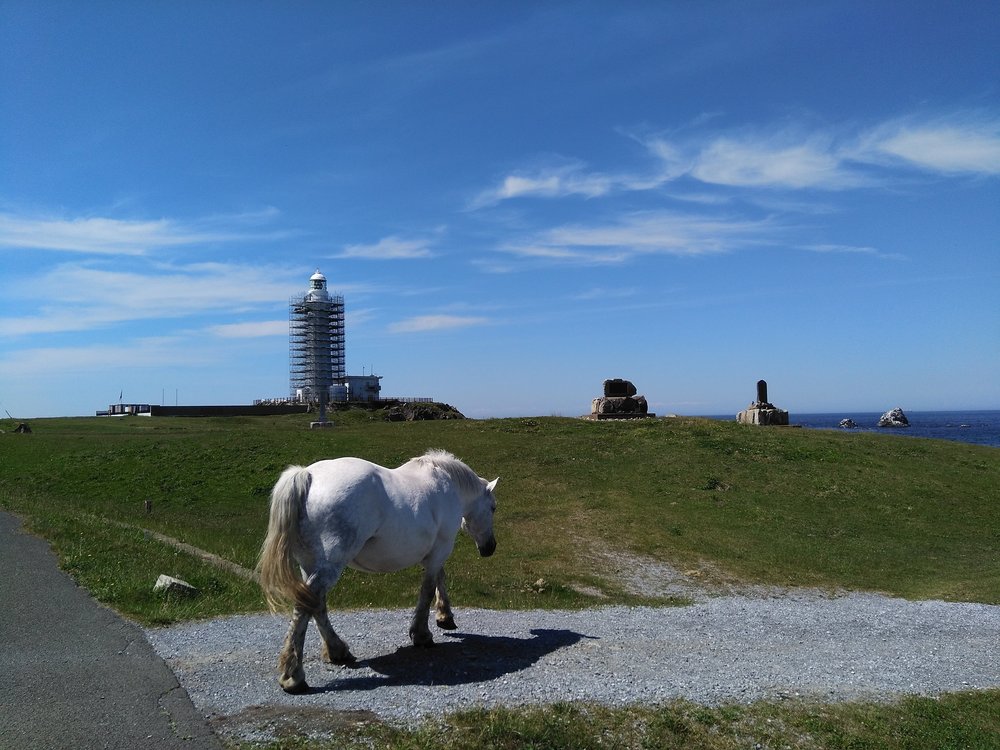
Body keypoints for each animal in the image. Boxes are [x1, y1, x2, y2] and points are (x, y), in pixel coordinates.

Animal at [254, 450, 496, 696]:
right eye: (493, 508)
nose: (490, 547)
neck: (446, 481)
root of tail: (307, 475)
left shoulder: (433, 554)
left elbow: (439, 579)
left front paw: (444, 616)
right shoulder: (441, 549)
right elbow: (428, 590)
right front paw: (422, 634)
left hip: (310, 565)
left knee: (316, 605)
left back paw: (337, 651)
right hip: (329, 566)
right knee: (305, 607)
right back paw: (293, 676)